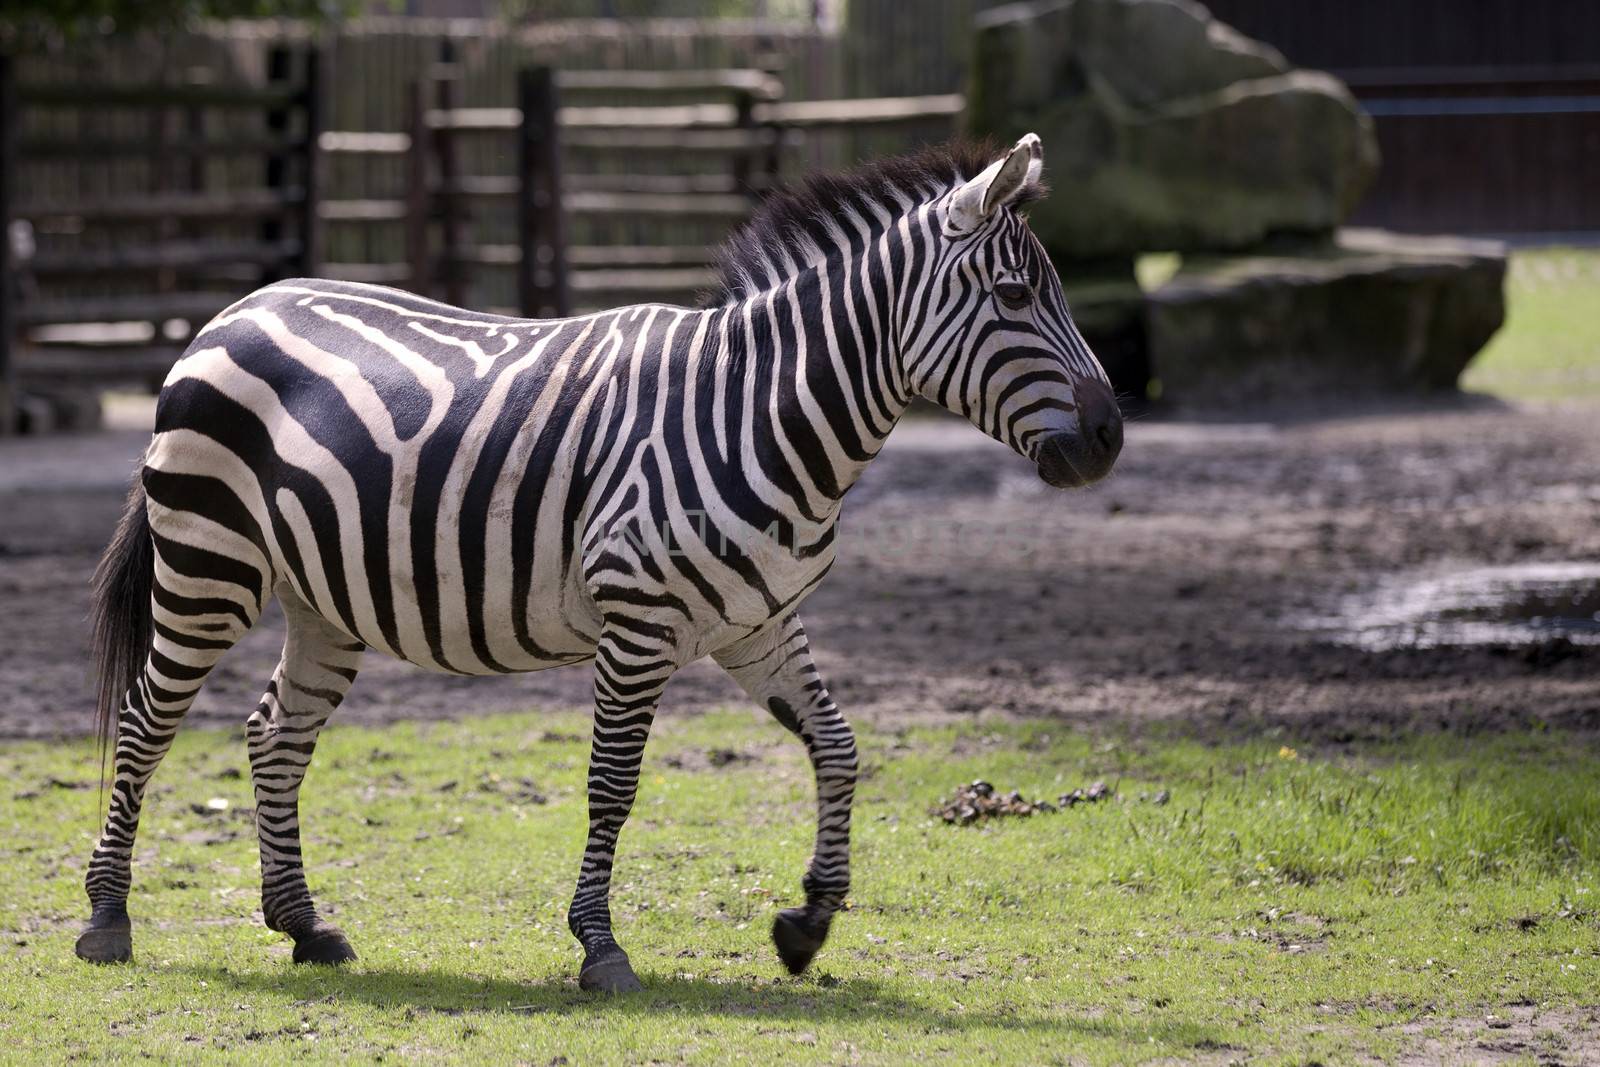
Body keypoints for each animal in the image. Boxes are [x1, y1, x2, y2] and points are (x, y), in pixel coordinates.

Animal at [75, 135, 1120, 991]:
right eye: (1017, 297)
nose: (1110, 437)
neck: (760, 413)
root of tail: (231, 310)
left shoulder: (758, 624)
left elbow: (839, 746)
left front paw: (807, 922)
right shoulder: (640, 621)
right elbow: (612, 784)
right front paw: (601, 946)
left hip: (320, 597)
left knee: (274, 734)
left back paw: (303, 925)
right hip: (208, 564)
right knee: (145, 720)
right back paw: (106, 918)